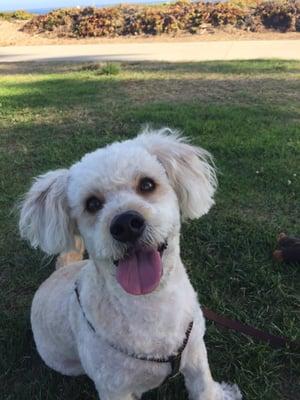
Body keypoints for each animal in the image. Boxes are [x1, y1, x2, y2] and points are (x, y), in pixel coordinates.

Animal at [18, 129, 241, 400]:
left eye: (147, 184)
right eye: (92, 203)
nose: (125, 224)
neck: (152, 304)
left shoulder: (196, 351)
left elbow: (204, 387)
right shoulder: (114, 388)